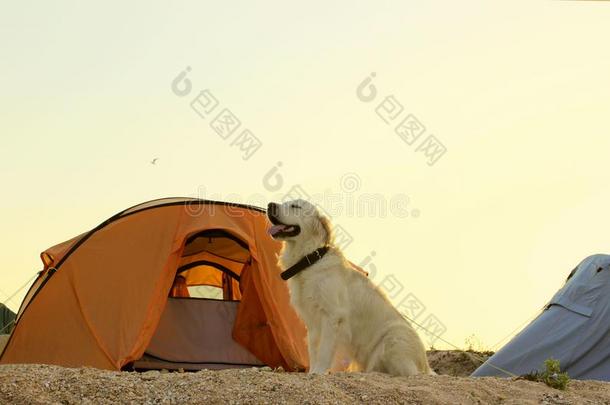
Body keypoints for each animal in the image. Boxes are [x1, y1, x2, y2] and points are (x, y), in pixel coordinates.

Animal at [266, 200, 432, 376]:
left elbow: (324, 351)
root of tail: (426, 365)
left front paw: (318, 372)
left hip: (393, 339)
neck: (309, 260)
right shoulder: (312, 322)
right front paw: (312, 372)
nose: (270, 205)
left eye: (296, 206)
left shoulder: (332, 315)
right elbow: (313, 350)